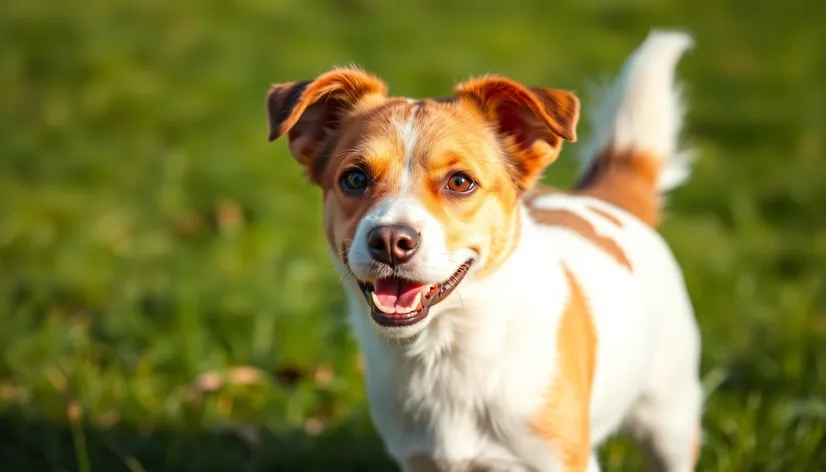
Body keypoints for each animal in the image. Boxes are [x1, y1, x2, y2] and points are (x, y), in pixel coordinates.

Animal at [266, 30, 700, 472]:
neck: (443, 349)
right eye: (354, 178)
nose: (389, 241)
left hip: (670, 419)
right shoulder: (418, 459)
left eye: (461, 182)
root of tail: (604, 199)